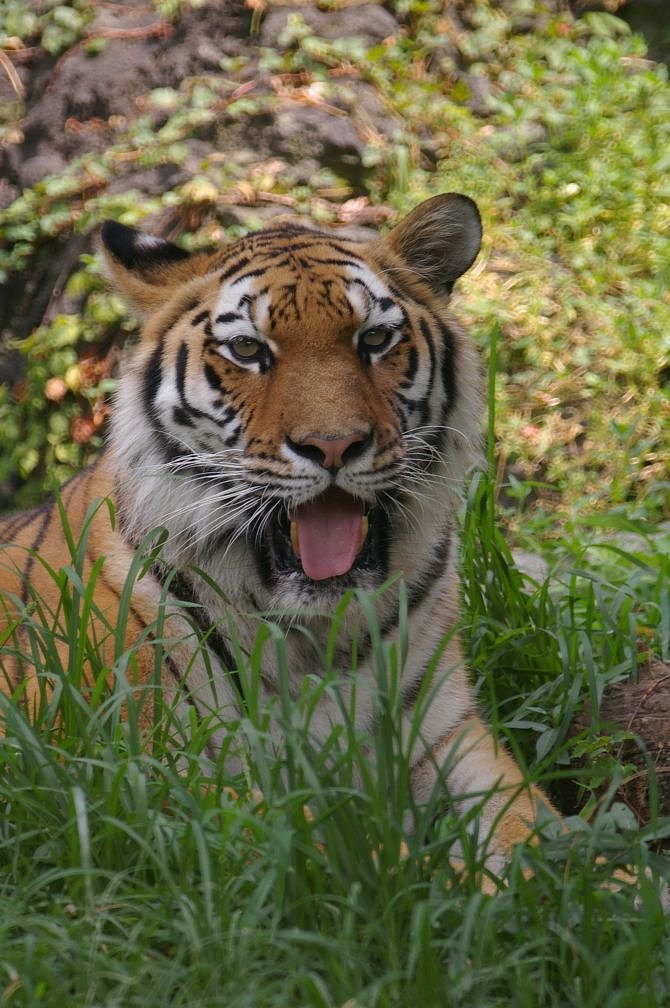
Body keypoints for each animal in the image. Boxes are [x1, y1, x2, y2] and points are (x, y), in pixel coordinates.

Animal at [0, 193, 557, 878]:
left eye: (374, 339)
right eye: (247, 349)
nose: (334, 445)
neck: (322, 641)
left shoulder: (446, 733)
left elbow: (537, 826)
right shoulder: (152, 770)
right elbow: (374, 862)